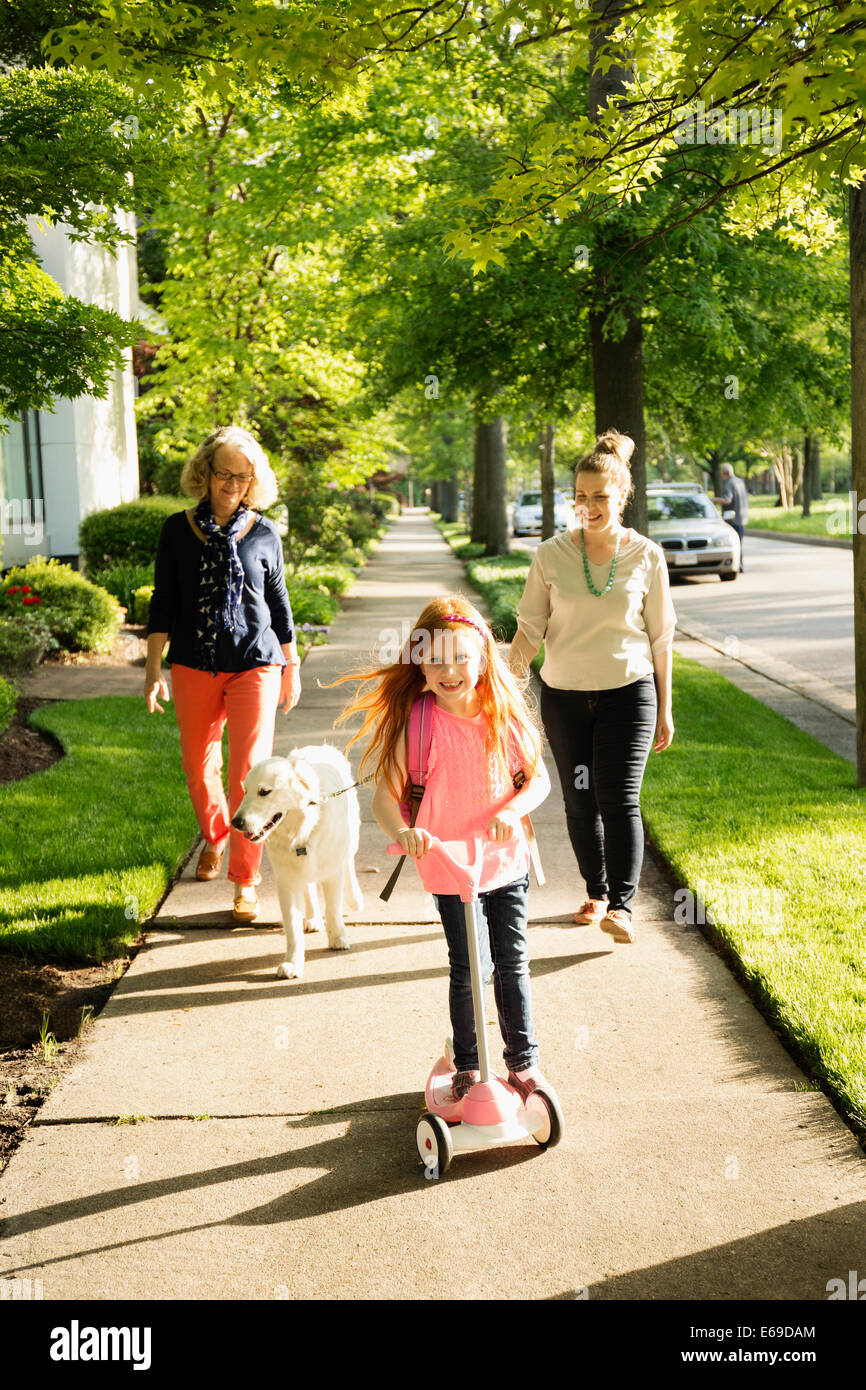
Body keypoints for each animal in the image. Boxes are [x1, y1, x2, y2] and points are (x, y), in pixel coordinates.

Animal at [232, 750, 364, 978]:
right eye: (245, 791)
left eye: (264, 792)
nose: (236, 822)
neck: (301, 830)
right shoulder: (287, 881)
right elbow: (293, 927)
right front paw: (293, 963)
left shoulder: (332, 872)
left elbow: (333, 908)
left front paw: (338, 938)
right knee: (309, 887)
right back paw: (313, 918)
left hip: (351, 836)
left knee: (348, 861)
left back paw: (354, 898)